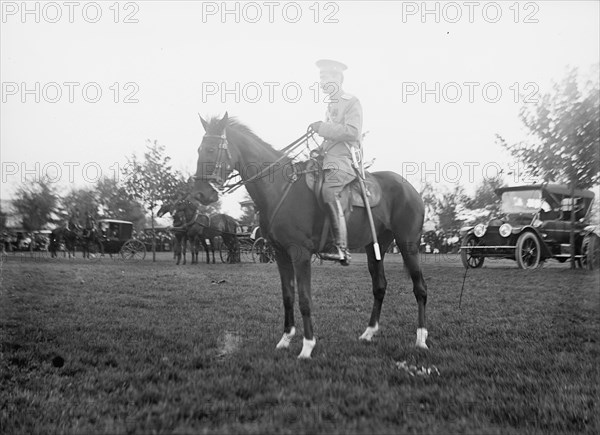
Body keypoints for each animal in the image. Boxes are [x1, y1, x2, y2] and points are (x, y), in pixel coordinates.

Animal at [193, 114, 432, 360]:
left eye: (211, 149)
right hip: (375, 246)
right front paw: (285, 339)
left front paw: (307, 346)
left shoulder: (300, 254)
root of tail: (411, 189)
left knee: (420, 288)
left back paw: (421, 339)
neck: (280, 189)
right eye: (199, 149)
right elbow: (288, 296)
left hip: (408, 244)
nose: (200, 193)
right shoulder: (280, 254)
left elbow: (305, 299)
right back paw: (368, 333)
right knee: (380, 286)